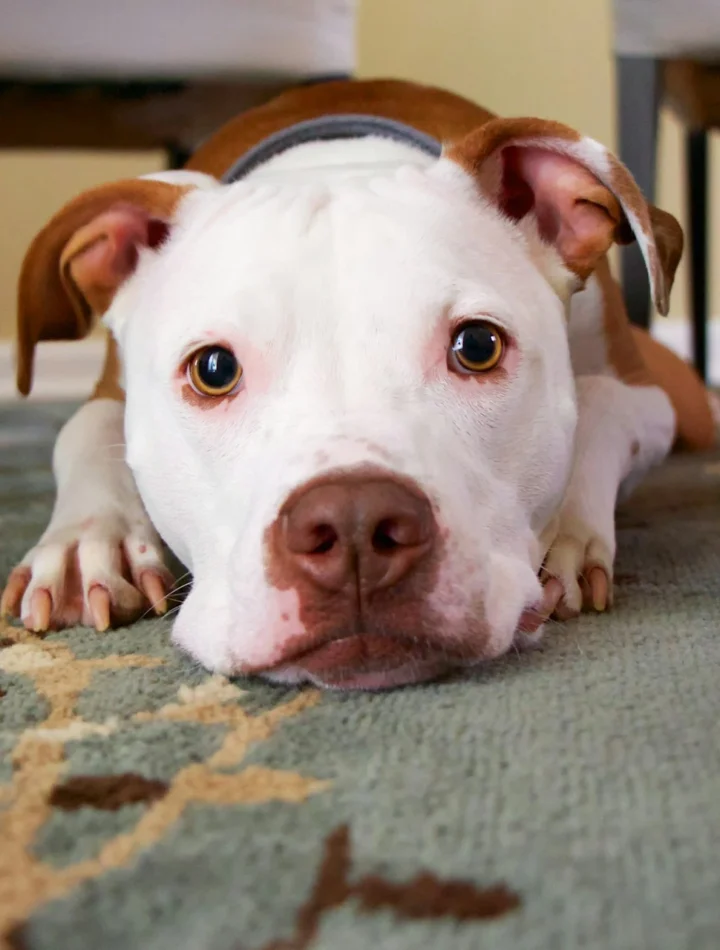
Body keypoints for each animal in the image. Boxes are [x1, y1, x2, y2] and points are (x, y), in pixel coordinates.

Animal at [0, 80, 716, 692]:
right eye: (214, 370)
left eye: (478, 346)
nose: (353, 524)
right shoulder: (109, 392)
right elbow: (82, 429)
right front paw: (87, 543)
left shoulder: (648, 397)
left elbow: (599, 403)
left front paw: (566, 533)